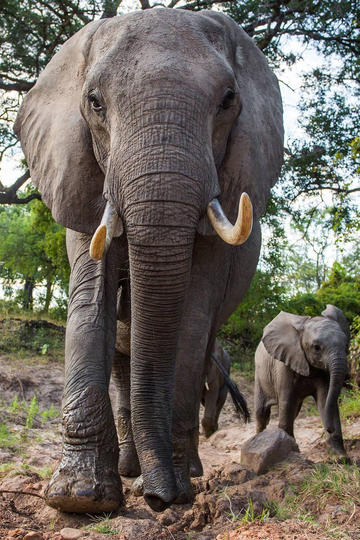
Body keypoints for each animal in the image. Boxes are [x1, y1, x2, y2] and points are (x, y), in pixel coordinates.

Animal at [14, 8, 284, 516]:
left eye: (228, 100)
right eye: (94, 103)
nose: (159, 500)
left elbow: (191, 319)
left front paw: (171, 491)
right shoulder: (82, 176)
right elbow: (90, 301)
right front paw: (80, 499)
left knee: (201, 346)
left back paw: (183, 473)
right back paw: (128, 470)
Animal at [255, 304, 350, 456]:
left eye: (346, 345)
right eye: (316, 348)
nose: (329, 429)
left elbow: (325, 400)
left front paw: (341, 456)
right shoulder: (284, 365)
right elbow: (287, 402)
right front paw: (291, 452)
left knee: (294, 411)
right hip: (259, 374)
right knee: (262, 413)